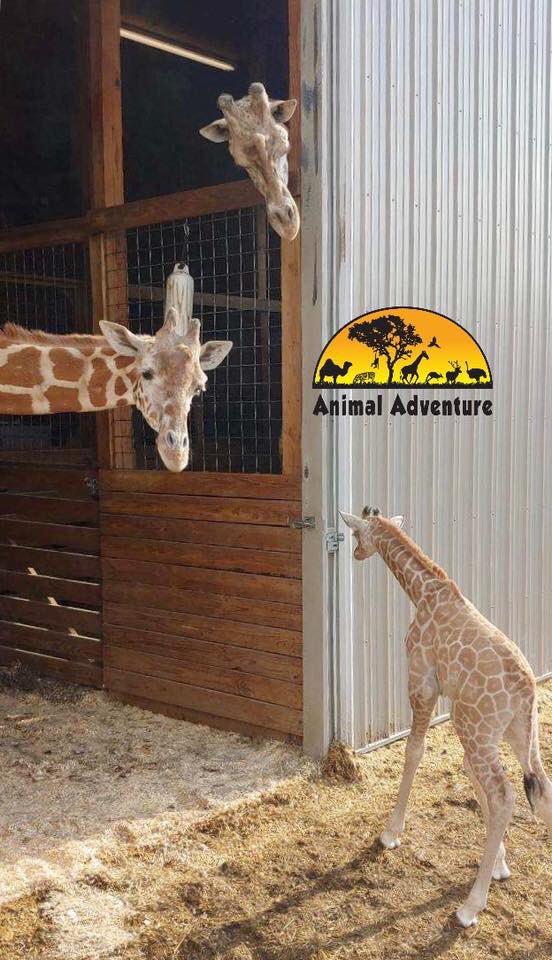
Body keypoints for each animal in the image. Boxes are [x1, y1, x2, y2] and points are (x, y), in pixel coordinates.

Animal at [340, 506, 552, 928]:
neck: (423, 592)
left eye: (356, 535)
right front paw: (501, 864)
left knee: (505, 795)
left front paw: (390, 833)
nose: (355, 554)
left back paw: (470, 907)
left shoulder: (423, 683)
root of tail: (527, 693)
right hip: (515, 733)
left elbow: (414, 751)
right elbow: (465, 772)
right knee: (541, 788)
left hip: (476, 727)